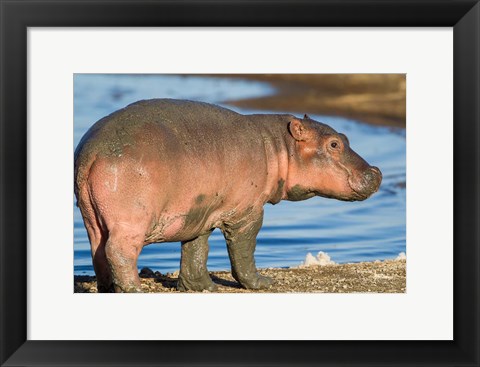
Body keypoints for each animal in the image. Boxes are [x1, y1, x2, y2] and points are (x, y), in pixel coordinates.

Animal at [74, 98, 382, 294]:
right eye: (334, 144)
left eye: (345, 137)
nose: (377, 172)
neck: (279, 146)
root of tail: (92, 151)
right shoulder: (246, 212)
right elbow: (244, 250)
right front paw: (263, 283)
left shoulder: (201, 212)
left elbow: (196, 249)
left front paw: (202, 287)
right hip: (131, 221)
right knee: (119, 253)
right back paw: (134, 290)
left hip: (92, 217)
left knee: (98, 252)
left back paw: (107, 289)